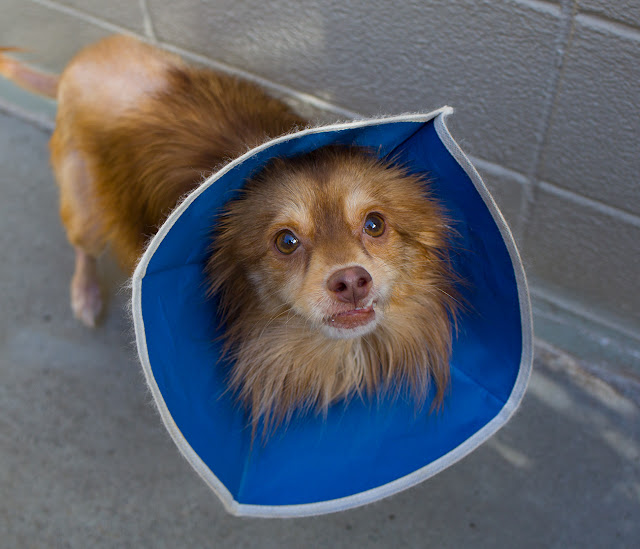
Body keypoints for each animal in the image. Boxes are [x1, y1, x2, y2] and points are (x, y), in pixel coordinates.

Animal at [1, 35, 459, 435]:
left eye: (375, 224)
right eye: (286, 242)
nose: (351, 281)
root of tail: (73, 66)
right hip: (89, 211)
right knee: (84, 248)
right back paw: (85, 294)